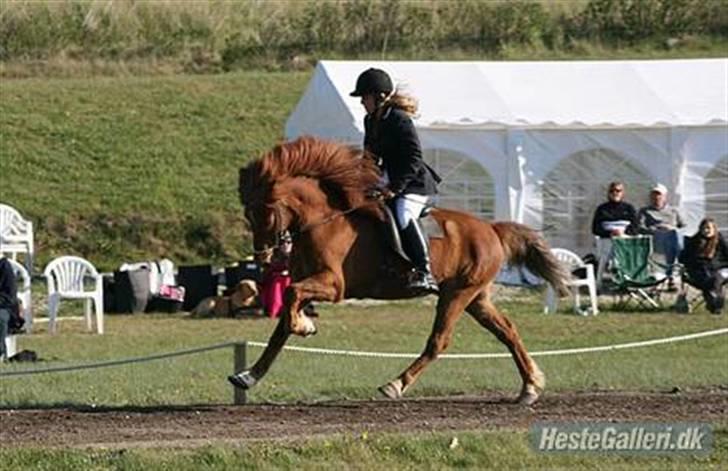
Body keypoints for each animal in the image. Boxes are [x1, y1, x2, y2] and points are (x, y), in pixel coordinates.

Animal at [233, 136, 568, 406]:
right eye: (248, 213)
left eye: (265, 211)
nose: (263, 256)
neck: (322, 221)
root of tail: (491, 228)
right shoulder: (310, 282)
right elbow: (280, 327)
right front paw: (249, 376)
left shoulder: (333, 285)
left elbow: (291, 296)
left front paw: (303, 326)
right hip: (476, 297)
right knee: (507, 331)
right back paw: (529, 388)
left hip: (458, 294)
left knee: (439, 341)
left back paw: (395, 384)